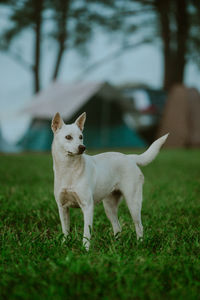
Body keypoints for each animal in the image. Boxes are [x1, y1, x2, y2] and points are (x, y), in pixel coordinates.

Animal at [50, 111, 168, 250]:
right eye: (68, 137)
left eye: (81, 137)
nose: (82, 147)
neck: (69, 170)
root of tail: (129, 158)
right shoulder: (62, 208)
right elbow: (65, 231)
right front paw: (64, 246)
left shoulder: (87, 207)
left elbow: (86, 233)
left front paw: (85, 250)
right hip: (109, 207)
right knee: (118, 227)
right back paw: (117, 246)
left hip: (133, 203)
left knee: (139, 226)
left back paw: (140, 245)